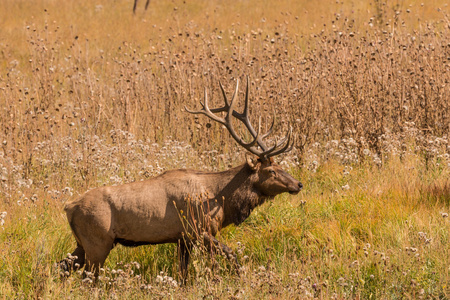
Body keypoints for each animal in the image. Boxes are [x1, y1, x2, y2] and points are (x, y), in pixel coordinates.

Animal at [59, 77, 302, 284]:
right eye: (271, 171)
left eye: (280, 165)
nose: (298, 184)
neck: (222, 200)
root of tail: (69, 207)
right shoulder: (198, 230)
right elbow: (230, 256)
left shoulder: (182, 239)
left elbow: (183, 273)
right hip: (98, 241)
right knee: (87, 277)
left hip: (83, 243)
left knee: (63, 265)